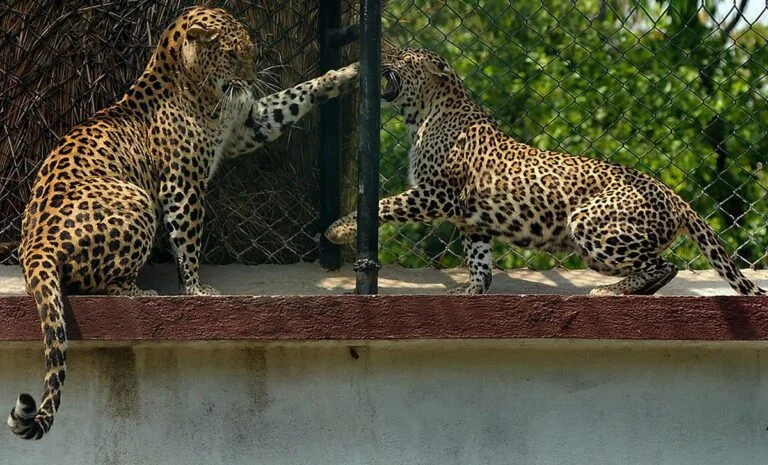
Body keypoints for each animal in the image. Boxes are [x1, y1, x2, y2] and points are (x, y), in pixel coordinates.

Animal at [8, 5, 356, 438]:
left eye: (250, 53)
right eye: (235, 54)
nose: (251, 79)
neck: (196, 86)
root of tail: (34, 243)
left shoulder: (245, 126)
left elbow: (290, 99)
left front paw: (344, 75)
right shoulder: (182, 183)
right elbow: (188, 238)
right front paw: (195, 289)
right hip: (137, 200)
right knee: (101, 286)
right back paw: (141, 294)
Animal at [322, 47, 760, 298]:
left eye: (402, 55)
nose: (375, 61)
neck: (424, 114)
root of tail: (672, 195)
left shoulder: (436, 193)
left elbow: (383, 206)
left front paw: (338, 230)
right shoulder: (473, 217)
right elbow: (479, 259)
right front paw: (472, 290)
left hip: (590, 224)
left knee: (663, 265)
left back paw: (609, 291)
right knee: (662, 266)